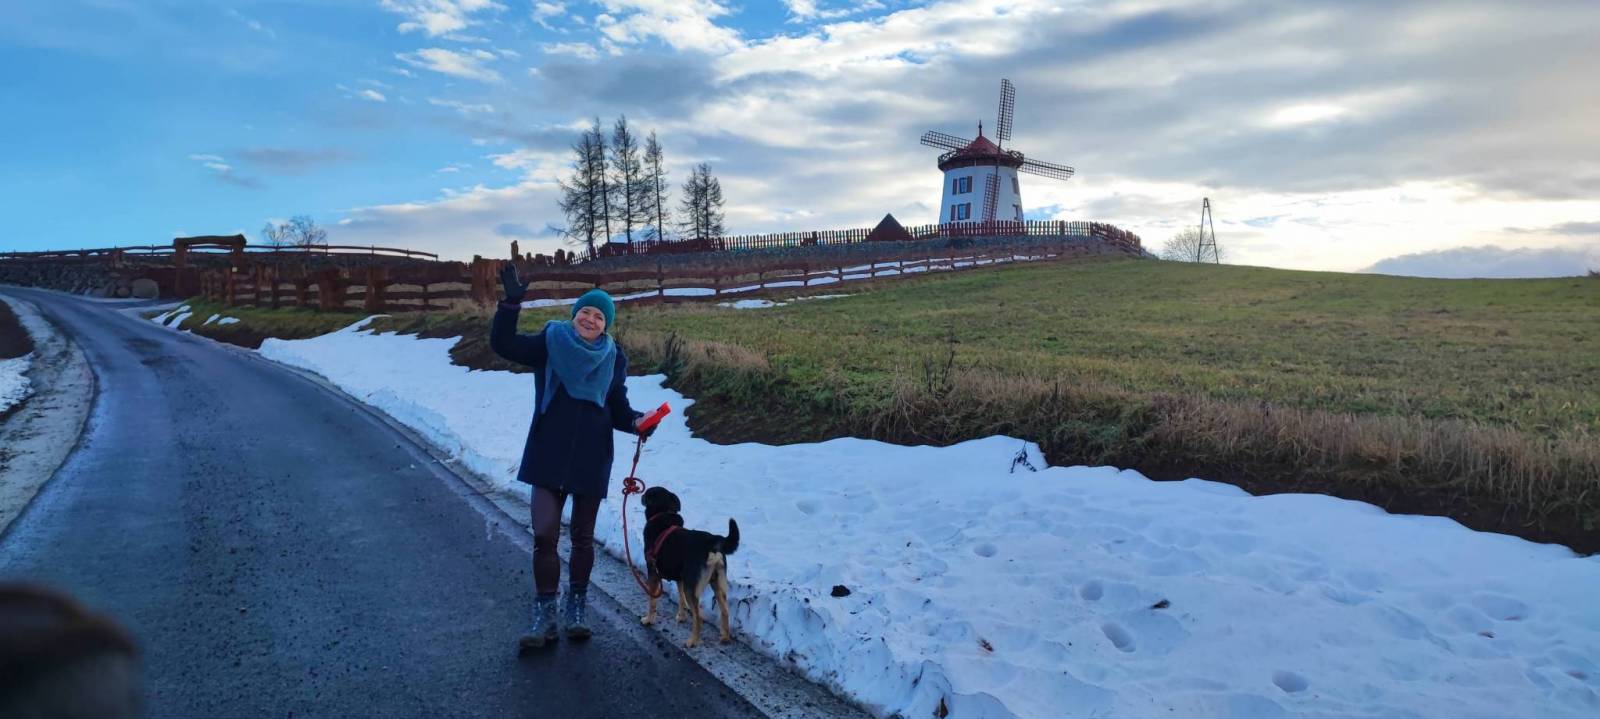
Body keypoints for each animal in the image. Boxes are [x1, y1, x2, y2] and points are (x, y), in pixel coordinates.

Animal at [638, 486, 739, 647]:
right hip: (718, 584)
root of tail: (711, 541)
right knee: (725, 611)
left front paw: (648, 620)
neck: (663, 512)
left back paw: (692, 641)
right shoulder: (680, 578)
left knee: (699, 618)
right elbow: (680, 598)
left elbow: (652, 601)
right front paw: (681, 616)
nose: (641, 495)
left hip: (692, 587)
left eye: (648, 493)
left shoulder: (653, 572)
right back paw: (724, 637)